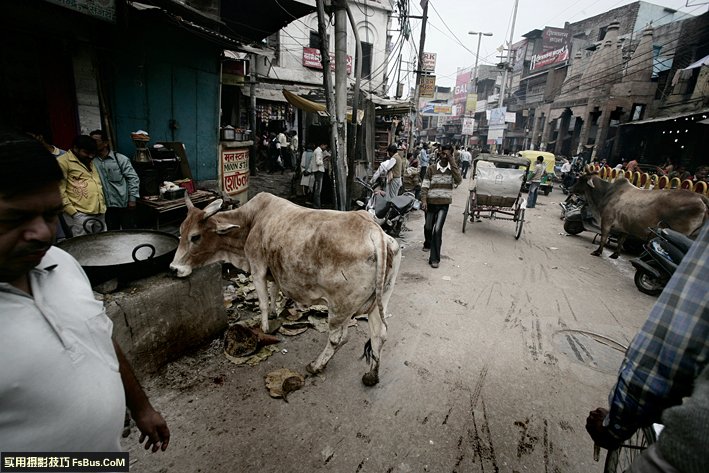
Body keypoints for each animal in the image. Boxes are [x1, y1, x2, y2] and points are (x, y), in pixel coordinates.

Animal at [167, 192, 398, 384]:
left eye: (195, 236)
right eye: (180, 232)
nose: (173, 268)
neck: (251, 221)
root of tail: (374, 230)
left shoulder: (257, 267)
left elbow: (262, 301)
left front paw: (264, 327)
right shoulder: (273, 270)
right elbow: (273, 291)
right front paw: (275, 312)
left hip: (340, 308)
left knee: (337, 338)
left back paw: (316, 365)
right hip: (380, 301)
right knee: (379, 335)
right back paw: (371, 375)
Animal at [568, 173, 708, 256]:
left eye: (581, 180)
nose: (570, 189)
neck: (606, 193)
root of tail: (701, 197)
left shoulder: (606, 221)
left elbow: (603, 237)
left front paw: (598, 252)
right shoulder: (625, 226)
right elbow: (621, 240)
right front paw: (615, 255)